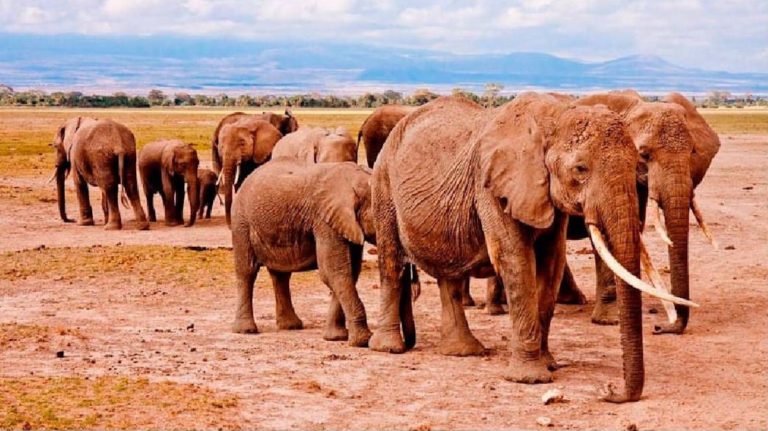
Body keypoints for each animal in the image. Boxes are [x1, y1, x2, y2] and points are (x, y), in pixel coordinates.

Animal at [230, 159, 375, 347]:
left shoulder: (345, 224)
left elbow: (349, 272)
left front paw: (335, 337)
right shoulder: (325, 221)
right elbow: (334, 272)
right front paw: (363, 341)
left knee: (281, 275)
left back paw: (291, 326)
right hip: (241, 222)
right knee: (247, 271)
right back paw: (246, 330)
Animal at [369, 93, 695, 403]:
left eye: (637, 163)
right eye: (580, 169)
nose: (610, 390)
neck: (554, 118)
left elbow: (551, 264)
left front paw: (548, 363)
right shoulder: (492, 187)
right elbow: (516, 261)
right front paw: (530, 378)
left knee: (449, 276)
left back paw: (462, 351)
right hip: (383, 184)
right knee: (392, 262)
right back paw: (389, 347)